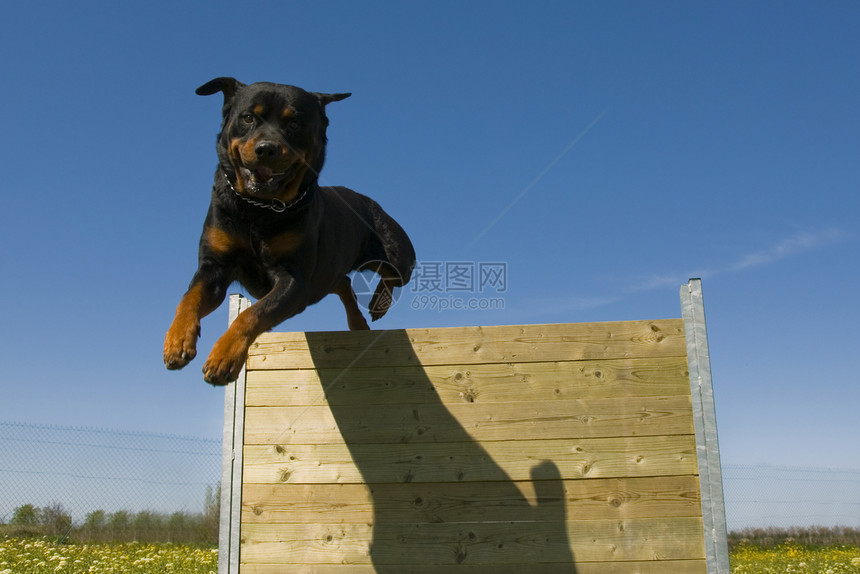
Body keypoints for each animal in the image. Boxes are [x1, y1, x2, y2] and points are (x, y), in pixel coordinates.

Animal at [165, 77, 416, 388]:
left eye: (295, 123)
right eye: (248, 117)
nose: (266, 148)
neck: (257, 210)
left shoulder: (294, 281)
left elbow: (251, 314)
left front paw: (223, 357)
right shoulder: (214, 267)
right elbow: (189, 298)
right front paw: (176, 341)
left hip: (394, 250)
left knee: (392, 274)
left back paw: (379, 303)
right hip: (327, 273)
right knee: (343, 282)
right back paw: (358, 322)